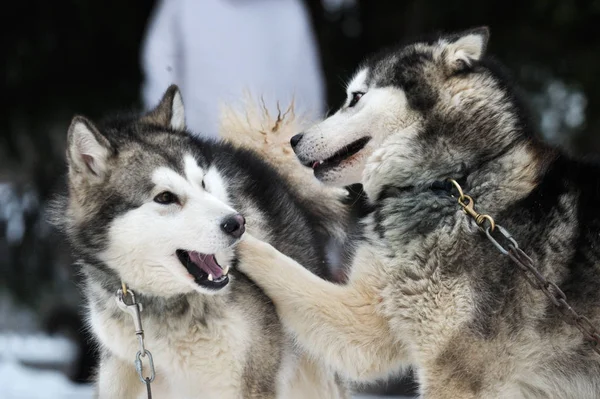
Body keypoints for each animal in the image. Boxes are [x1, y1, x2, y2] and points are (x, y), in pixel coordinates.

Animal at [234, 26, 600, 398]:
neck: (454, 181)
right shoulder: (372, 320)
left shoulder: (455, 376)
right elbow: (284, 269)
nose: (294, 140)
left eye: (356, 97)